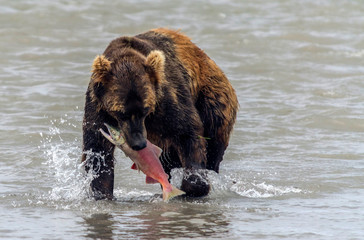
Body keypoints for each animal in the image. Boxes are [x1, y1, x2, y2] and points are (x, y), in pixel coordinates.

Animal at [81, 28, 237, 200]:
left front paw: (193, 185)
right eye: (120, 112)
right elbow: (98, 149)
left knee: (214, 142)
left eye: (145, 110)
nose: (139, 144)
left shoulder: (166, 99)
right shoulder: (98, 107)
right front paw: (102, 192)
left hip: (212, 97)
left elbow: (188, 132)